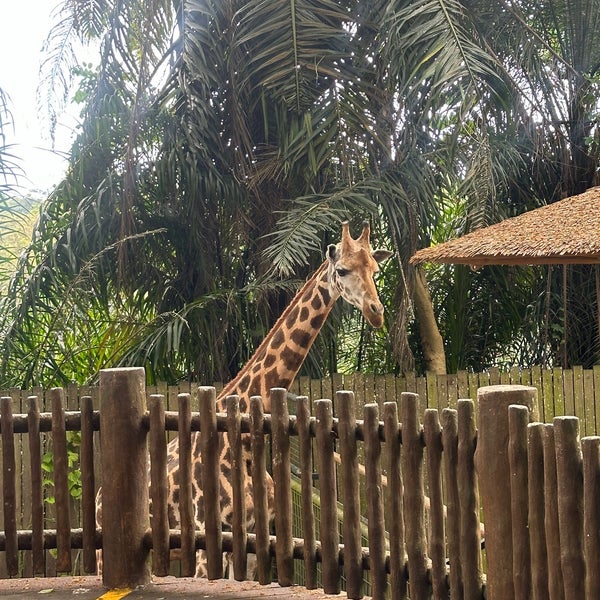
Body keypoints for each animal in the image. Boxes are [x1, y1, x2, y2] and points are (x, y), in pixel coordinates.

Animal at [96, 220, 392, 576]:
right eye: (343, 270)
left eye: (375, 269)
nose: (376, 313)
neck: (247, 444)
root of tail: (97, 497)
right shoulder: (207, 535)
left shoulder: (252, 533)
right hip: (105, 548)